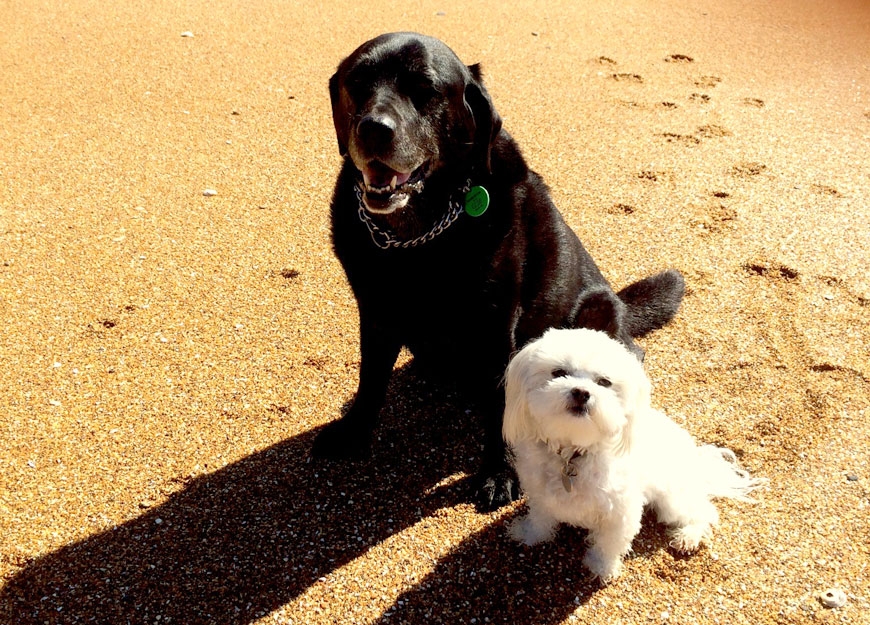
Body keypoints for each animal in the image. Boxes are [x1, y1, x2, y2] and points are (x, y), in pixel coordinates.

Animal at [314, 34, 688, 510]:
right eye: (357, 82)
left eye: (425, 89)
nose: (373, 129)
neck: (419, 238)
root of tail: (618, 301)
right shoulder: (377, 313)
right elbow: (370, 379)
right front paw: (354, 431)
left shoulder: (495, 324)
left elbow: (500, 405)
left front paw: (499, 471)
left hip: (596, 310)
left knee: (628, 354)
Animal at [504, 326, 764, 580]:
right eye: (558, 372)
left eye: (604, 382)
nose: (581, 392)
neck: (574, 454)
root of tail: (696, 460)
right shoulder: (540, 496)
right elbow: (540, 518)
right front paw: (530, 534)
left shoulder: (621, 512)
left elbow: (609, 543)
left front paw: (602, 568)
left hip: (672, 499)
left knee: (703, 510)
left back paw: (688, 535)